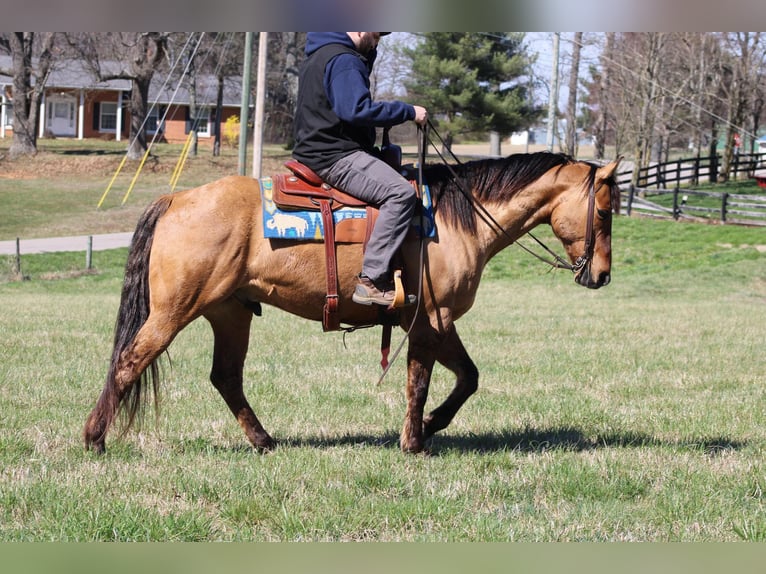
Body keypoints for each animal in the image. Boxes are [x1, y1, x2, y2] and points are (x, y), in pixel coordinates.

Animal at [84, 152, 624, 454]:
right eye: (604, 210)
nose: (601, 275)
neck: (456, 221)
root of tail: (176, 199)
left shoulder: (439, 322)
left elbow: (468, 377)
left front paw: (431, 426)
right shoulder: (429, 320)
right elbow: (419, 382)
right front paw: (414, 442)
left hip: (230, 312)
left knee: (225, 378)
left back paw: (263, 441)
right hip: (174, 311)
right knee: (129, 361)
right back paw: (94, 438)